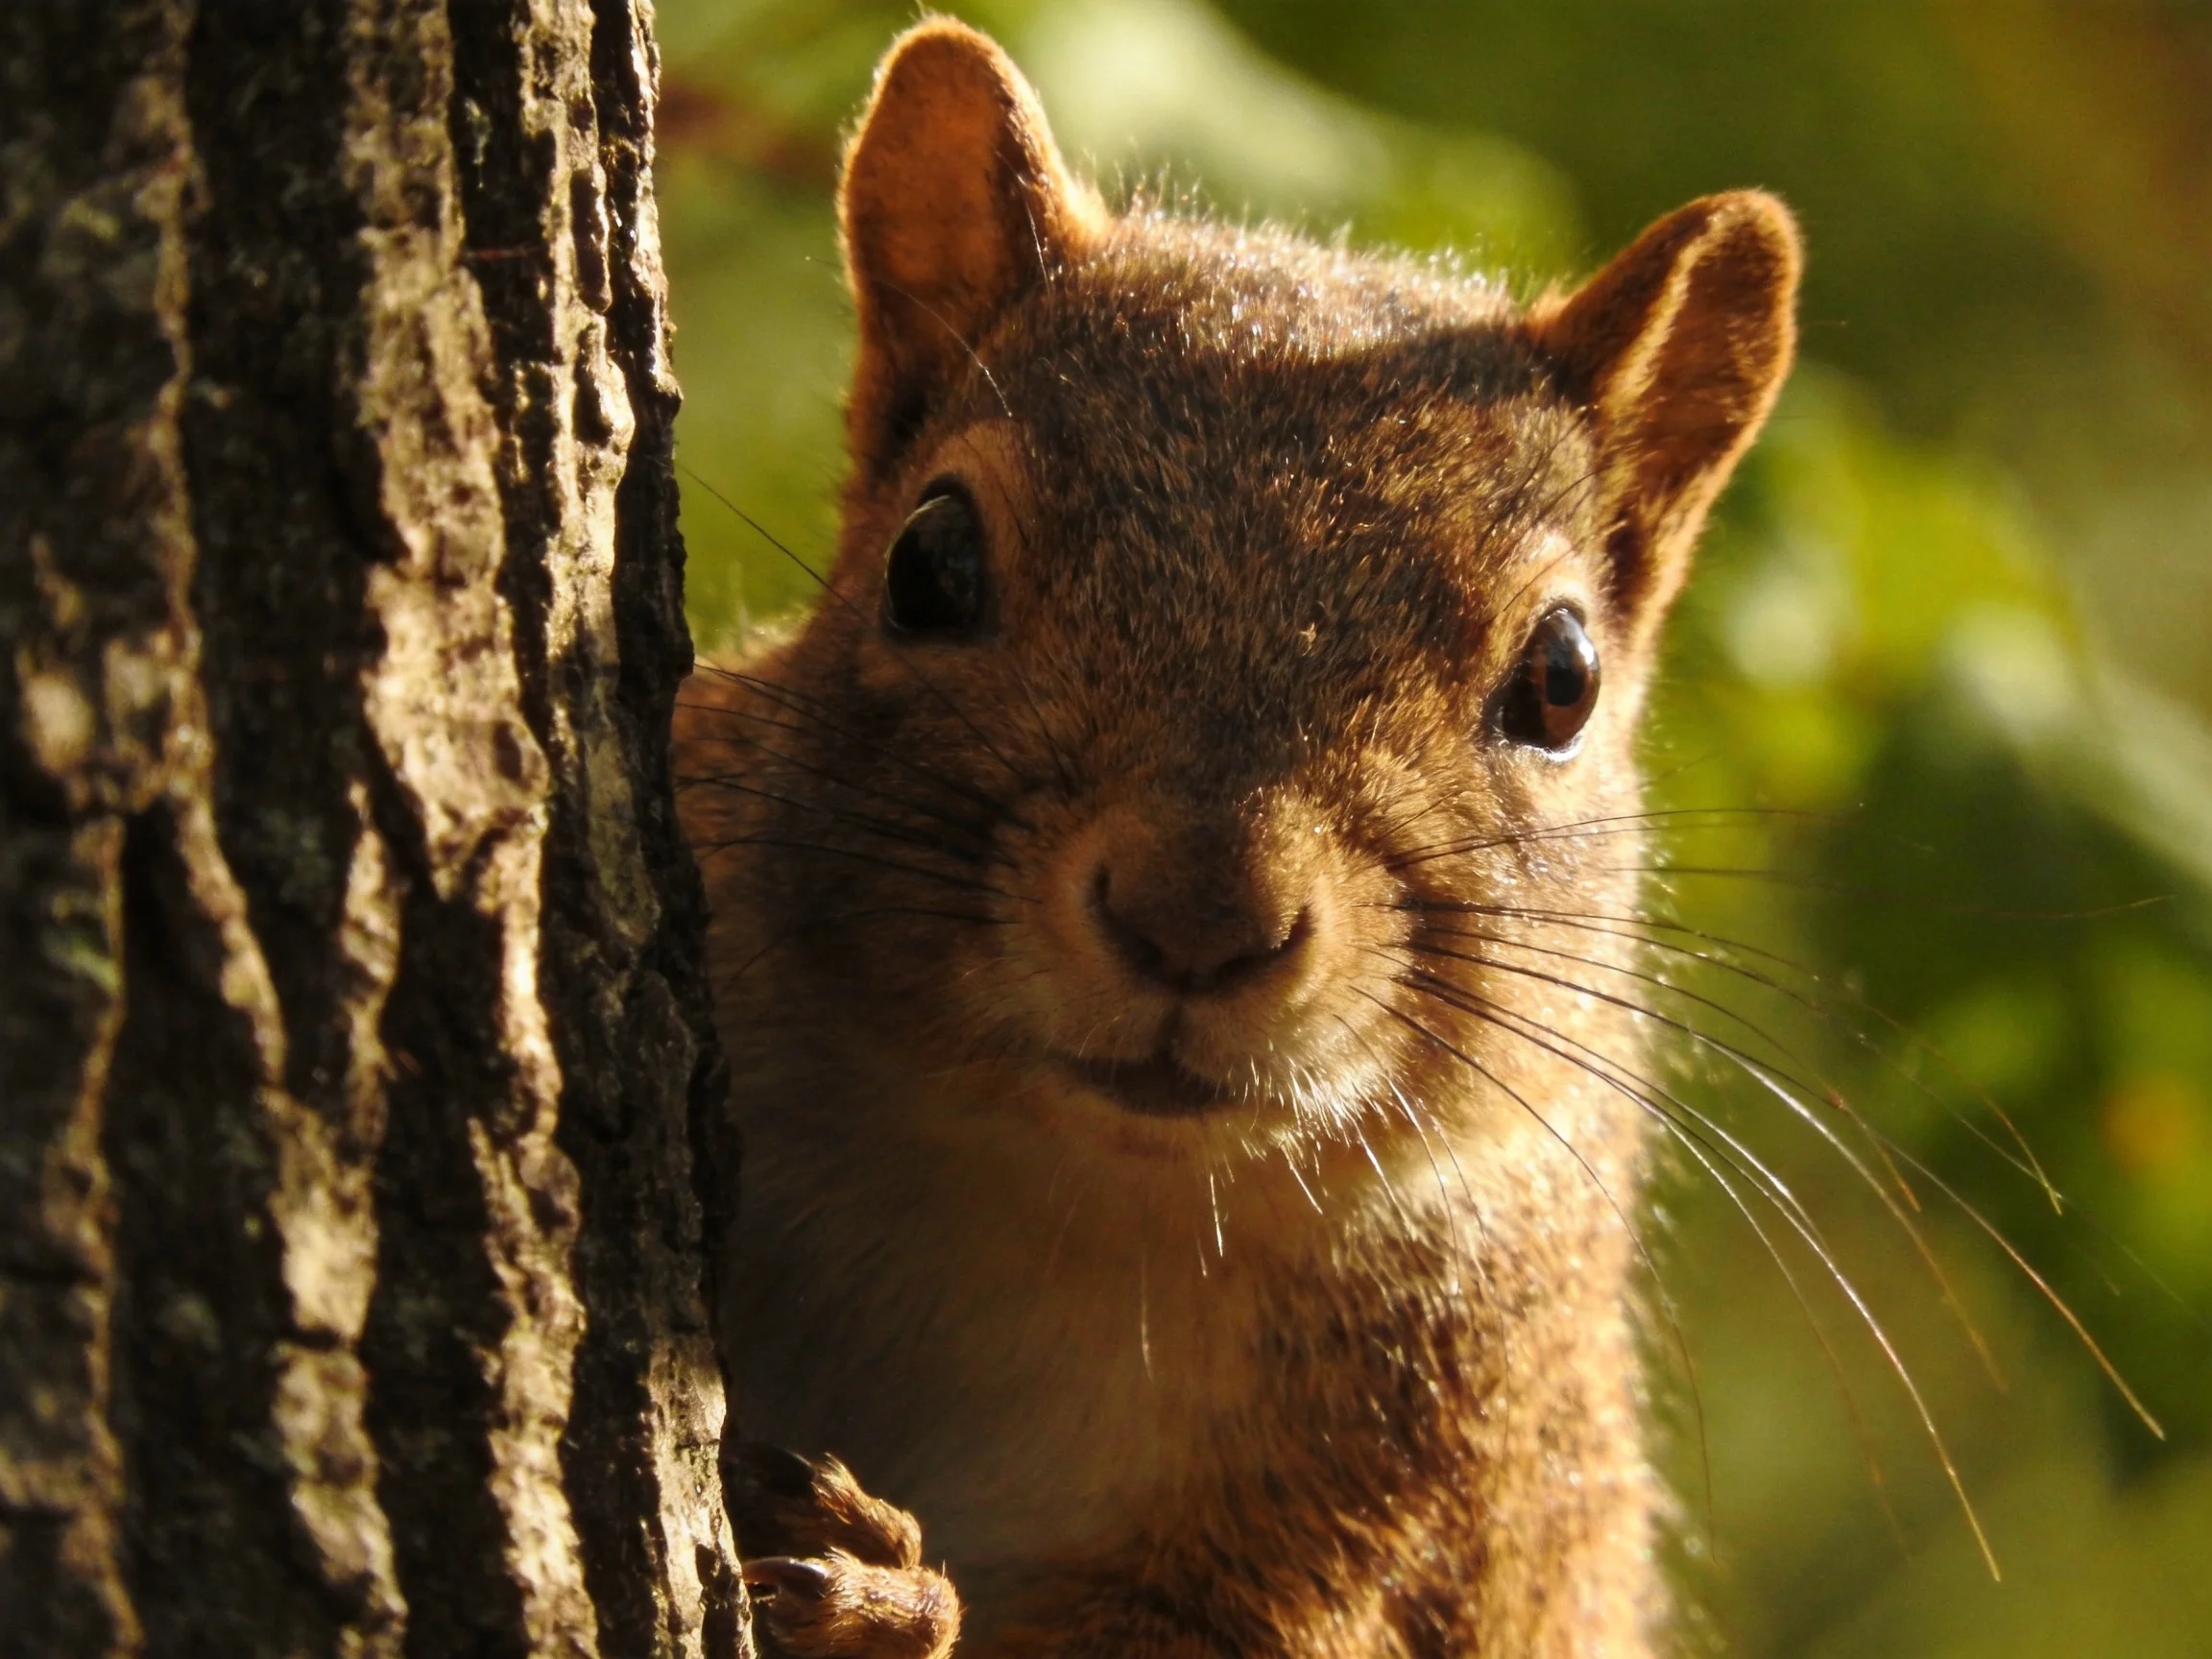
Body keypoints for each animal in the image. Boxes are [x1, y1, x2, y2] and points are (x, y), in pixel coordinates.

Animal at [674, 18, 1799, 1657]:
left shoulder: (1404, 1488)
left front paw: (882, 1597)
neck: (1066, 1198)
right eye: (930, 559)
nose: (1195, 916)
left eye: (1563, 678)